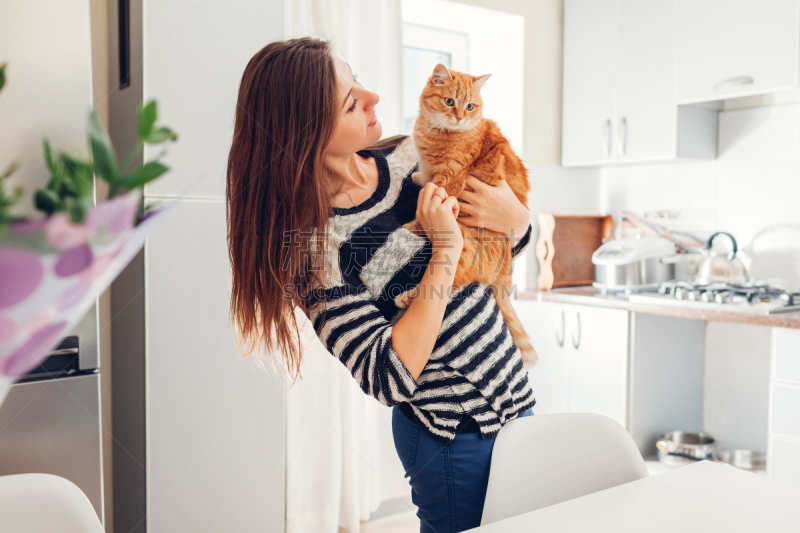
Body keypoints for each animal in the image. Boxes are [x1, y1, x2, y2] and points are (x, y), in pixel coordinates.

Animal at [396, 62, 536, 368]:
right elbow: (424, 175)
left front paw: (414, 222)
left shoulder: (450, 179)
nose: (459, 118)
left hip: (459, 245)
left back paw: (405, 297)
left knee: (450, 285)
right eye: (450, 102)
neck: (436, 132)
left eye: (470, 106)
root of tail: (503, 275)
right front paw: (416, 177)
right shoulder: (430, 168)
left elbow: (429, 204)